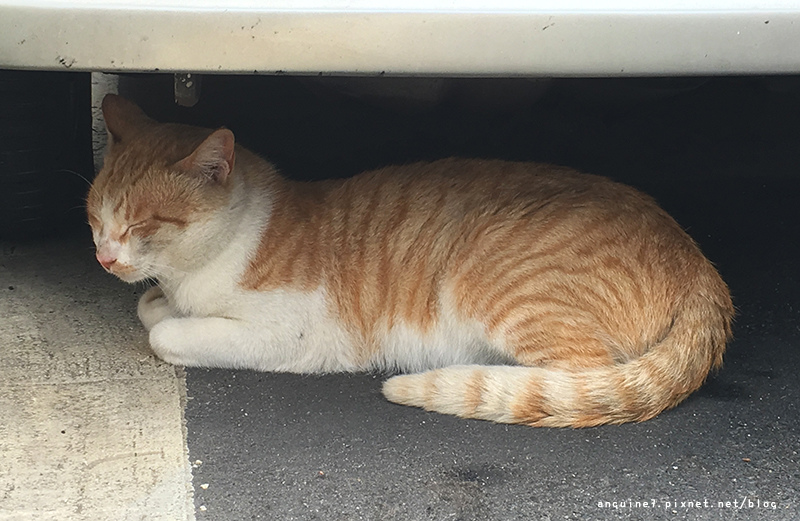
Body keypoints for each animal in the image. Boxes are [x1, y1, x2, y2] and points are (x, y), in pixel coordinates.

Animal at [86, 93, 732, 426]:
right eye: (94, 216)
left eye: (141, 224)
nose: (104, 259)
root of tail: (696, 259)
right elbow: (152, 307)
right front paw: (159, 301)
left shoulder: (293, 332)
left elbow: (165, 332)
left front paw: (171, 320)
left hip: (496, 286)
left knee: (580, 378)